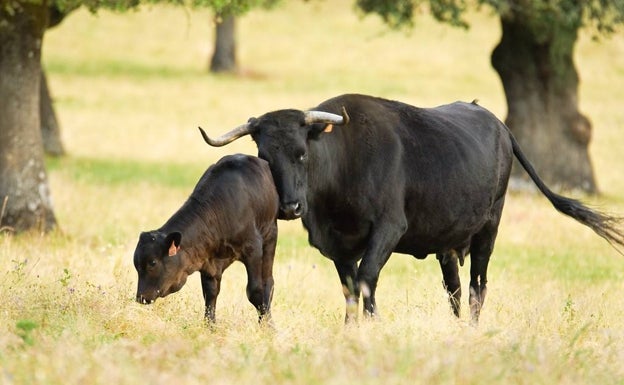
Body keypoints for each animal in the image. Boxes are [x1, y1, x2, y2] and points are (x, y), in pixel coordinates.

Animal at [134, 153, 278, 320]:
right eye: (136, 265)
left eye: (152, 262)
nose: (141, 297)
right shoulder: (208, 262)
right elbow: (210, 294)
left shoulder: (253, 249)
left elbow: (256, 291)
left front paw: (267, 325)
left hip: (270, 236)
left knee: (268, 283)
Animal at [197, 94, 620, 322]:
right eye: (264, 157)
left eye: (302, 153)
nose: (290, 206)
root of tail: (498, 123)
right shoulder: (336, 246)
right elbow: (350, 288)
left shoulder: (388, 229)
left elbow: (367, 279)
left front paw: (374, 324)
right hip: (449, 242)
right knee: (453, 288)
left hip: (489, 229)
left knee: (477, 286)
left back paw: (473, 328)